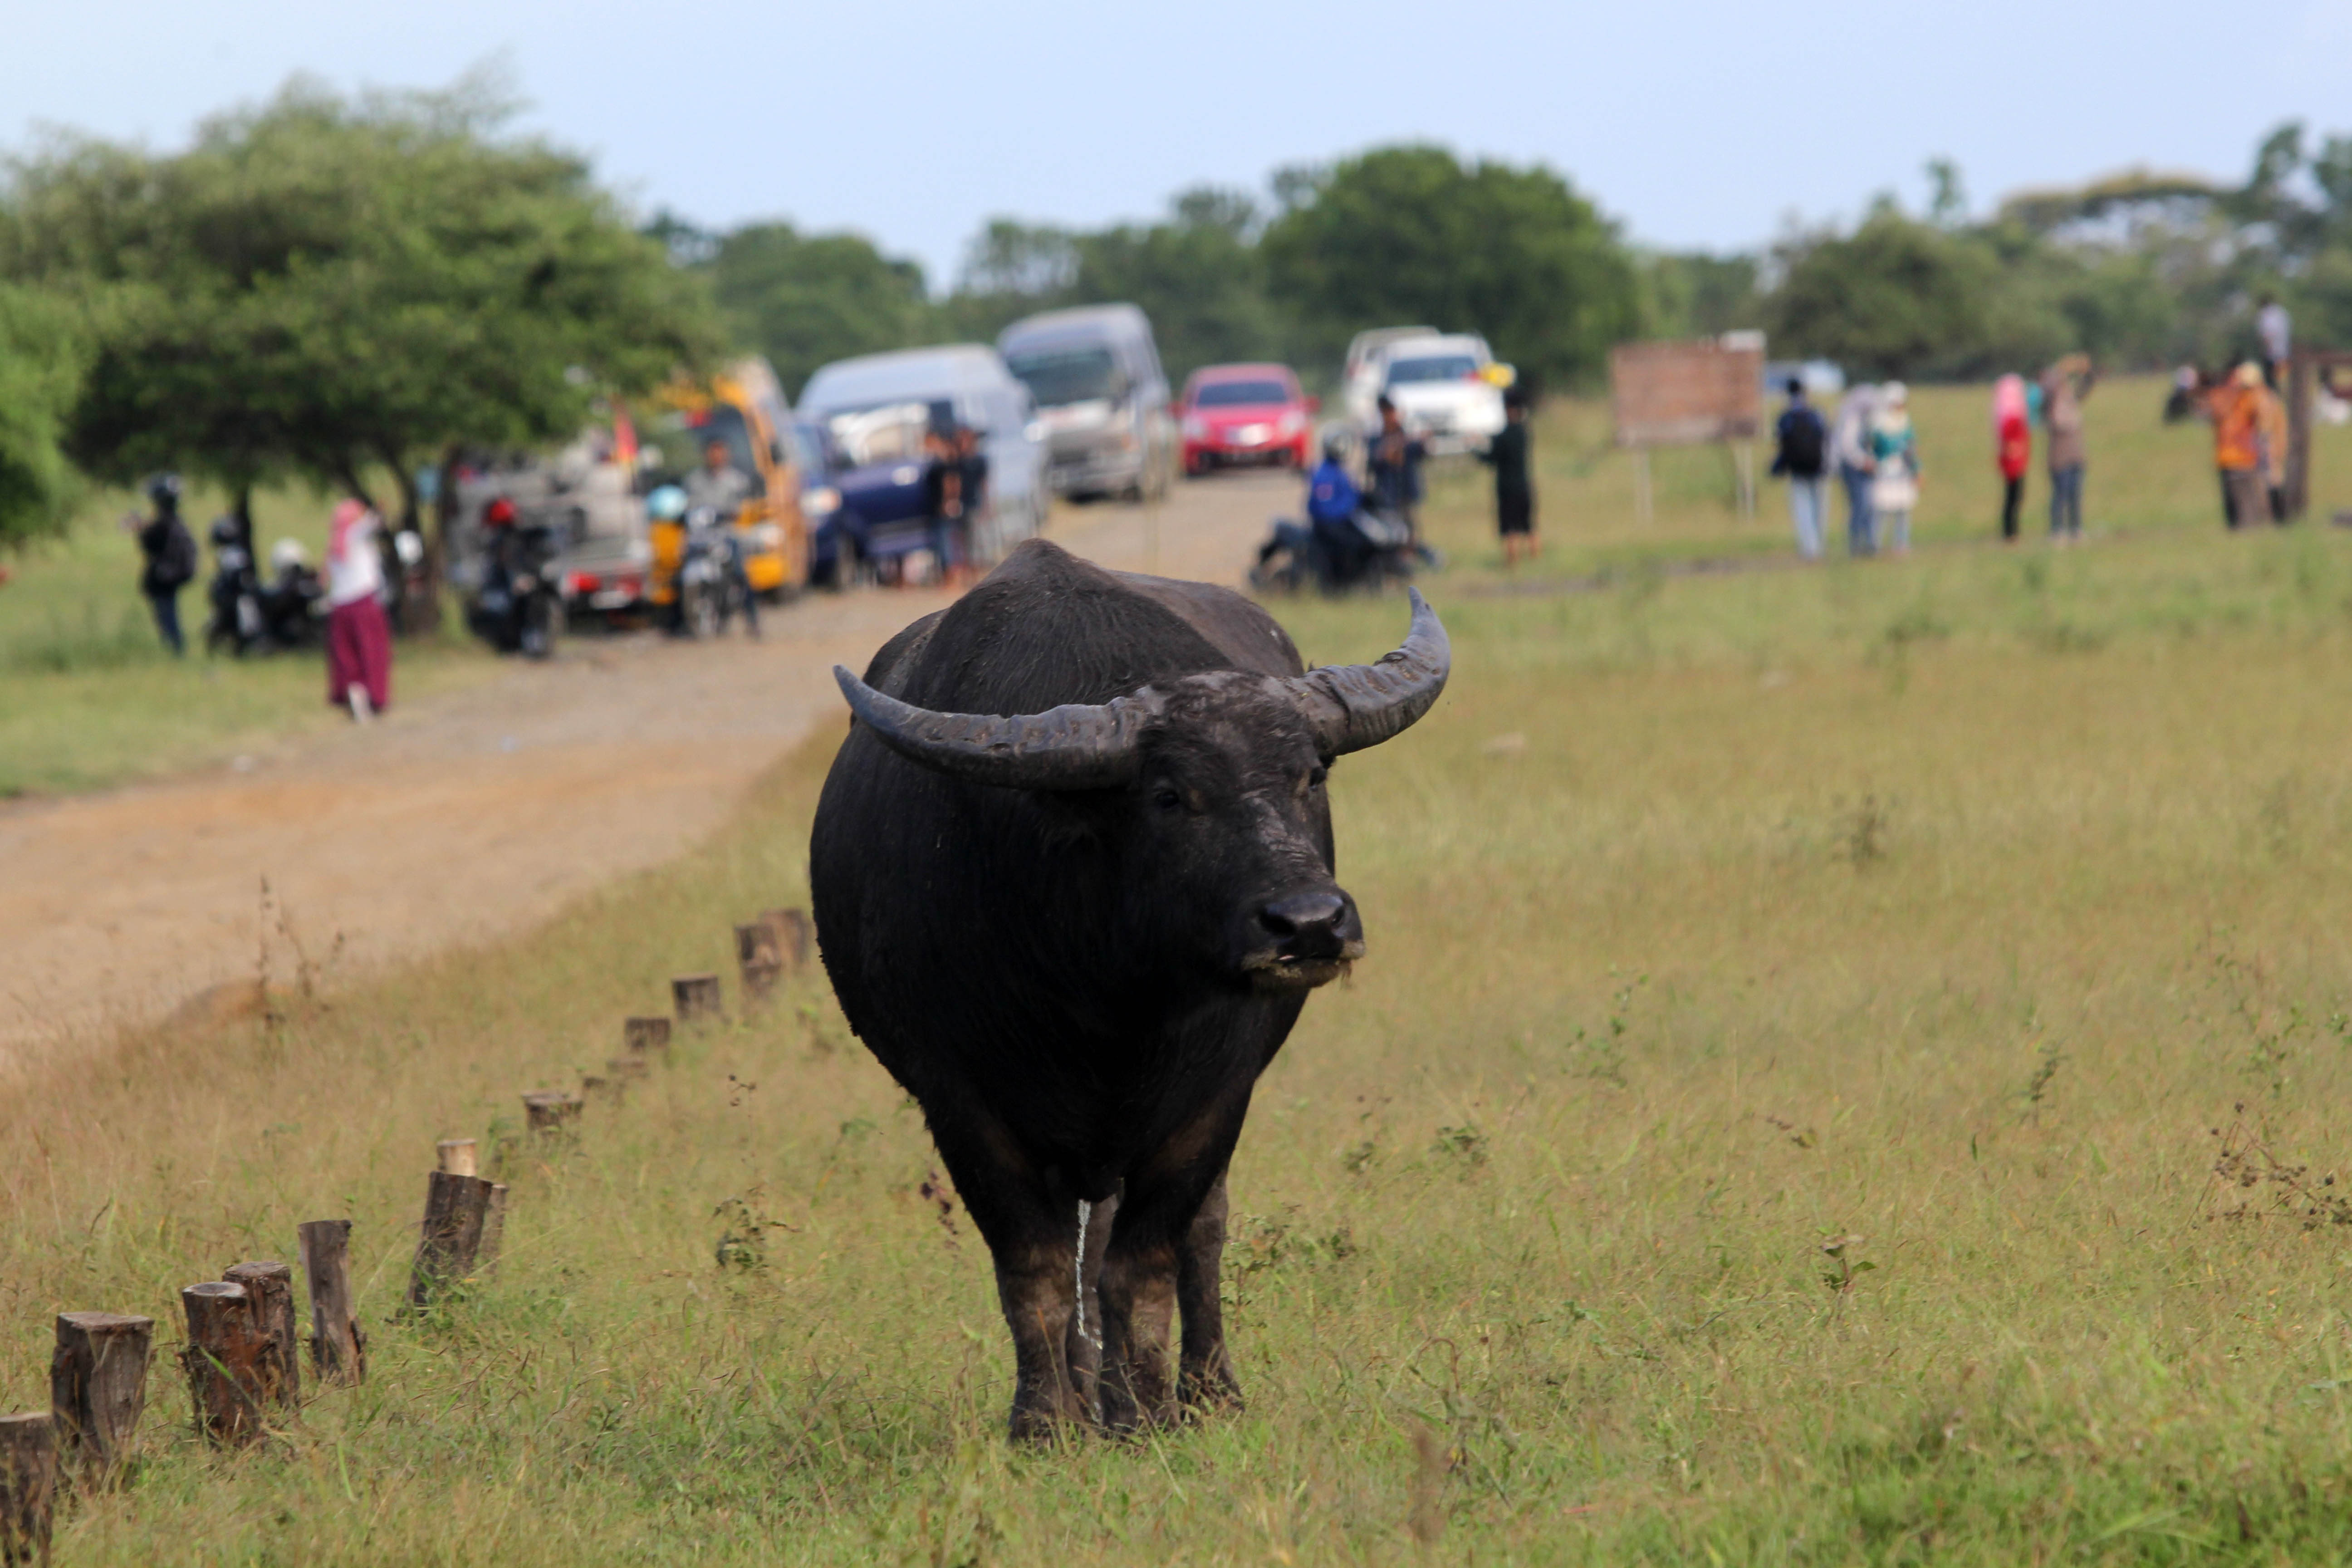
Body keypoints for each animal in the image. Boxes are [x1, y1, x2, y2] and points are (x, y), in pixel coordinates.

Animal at [809, 543, 1439, 1448]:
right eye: (1170, 795)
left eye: (1309, 775)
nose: (1310, 923)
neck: (1107, 1000)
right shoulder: (961, 1103)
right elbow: (1034, 1266)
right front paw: (1044, 1423)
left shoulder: (1211, 1100)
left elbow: (1144, 1263)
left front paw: (1145, 1413)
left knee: (1195, 1233)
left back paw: (1203, 1392)